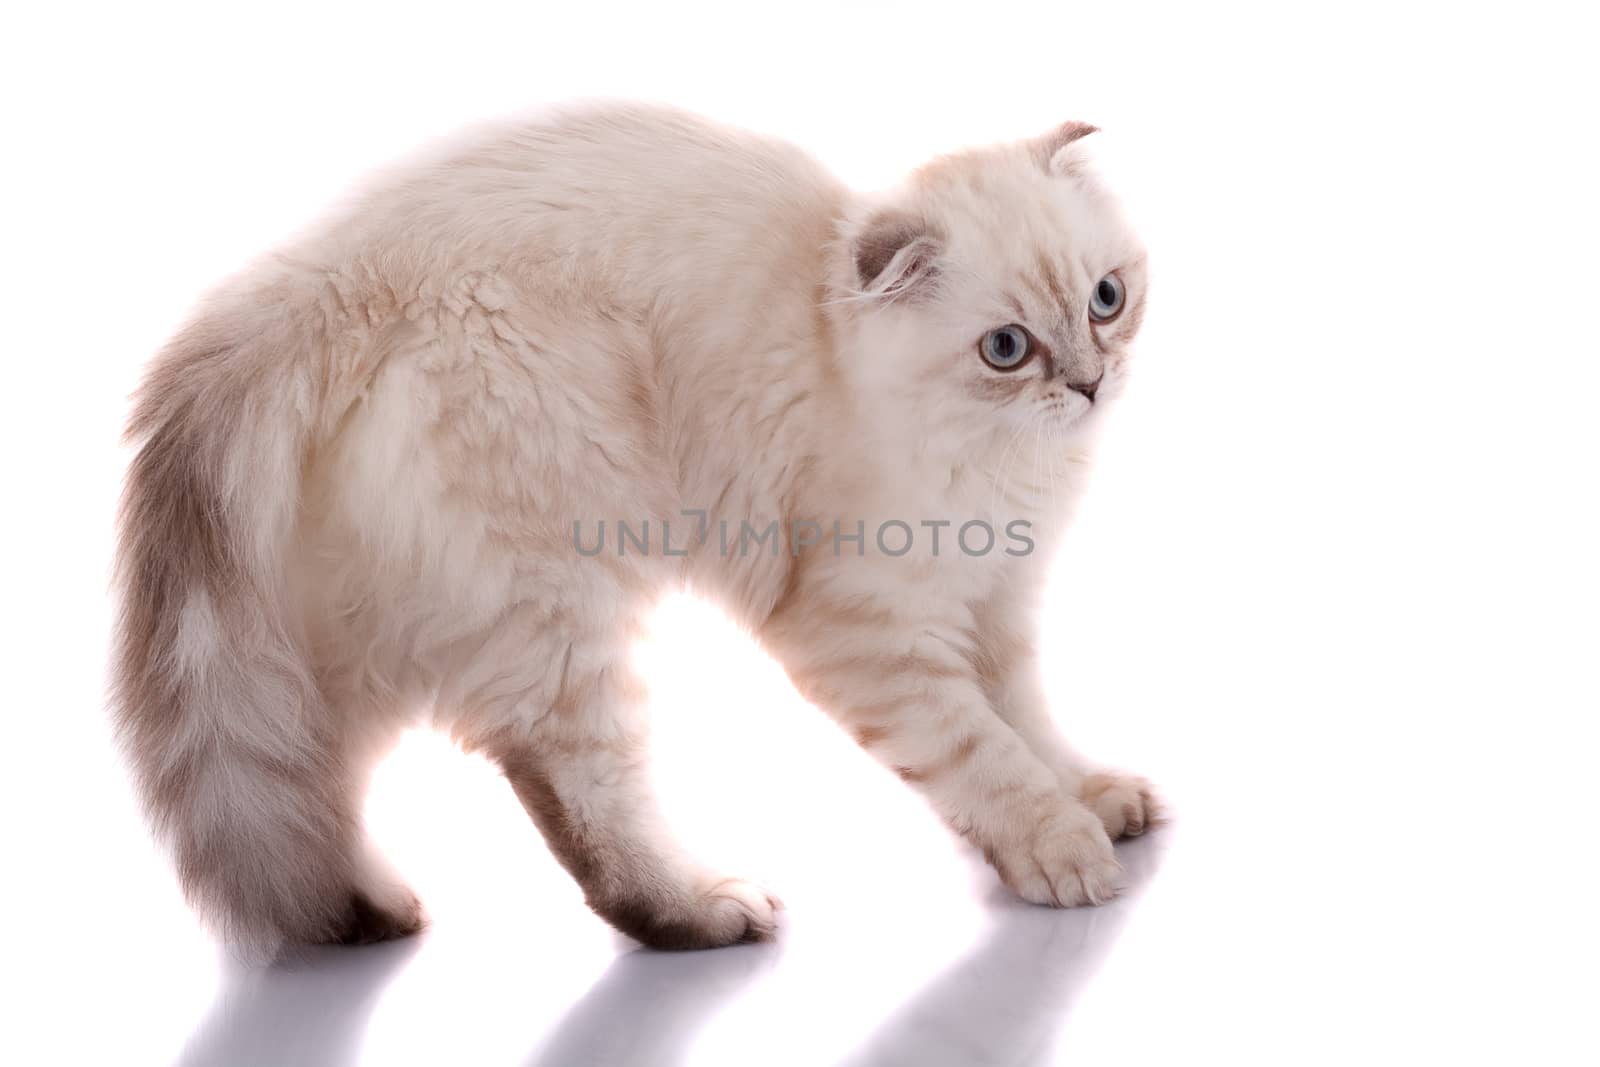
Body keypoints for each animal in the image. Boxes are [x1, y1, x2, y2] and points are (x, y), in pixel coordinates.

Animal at [116, 102, 1164, 959]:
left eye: (1106, 300)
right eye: (1007, 349)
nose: (1090, 384)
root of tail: (326, 273)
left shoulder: (995, 603)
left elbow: (1028, 723)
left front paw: (1096, 799)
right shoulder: (868, 626)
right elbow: (983, 752)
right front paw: (1061, 850)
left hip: (341, 644)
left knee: (305, 775)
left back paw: (371, 905)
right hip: (558, 606)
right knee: (567, 785)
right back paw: (699, 909)